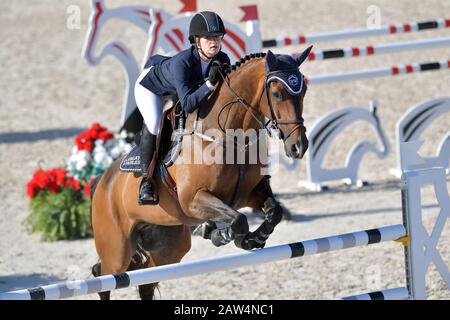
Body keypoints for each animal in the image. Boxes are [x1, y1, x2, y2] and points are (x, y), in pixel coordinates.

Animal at [89, 47, 312, 300]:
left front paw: (253, 238)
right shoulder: (193, 199)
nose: (298, 147)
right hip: (117, 249)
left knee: (145, 281)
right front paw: (224, 235)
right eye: (276, 93)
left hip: (169, 247)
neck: (230, 136)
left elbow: (274, 212)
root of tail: (101, 182)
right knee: (104, 274)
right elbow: (238, 220)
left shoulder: (251, 192)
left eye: (303, 91)